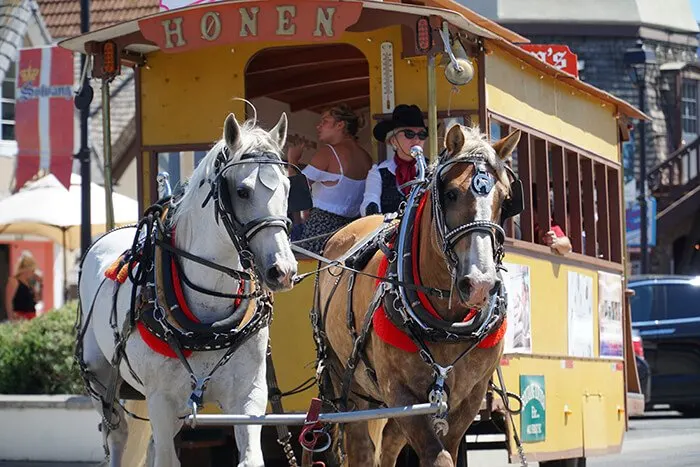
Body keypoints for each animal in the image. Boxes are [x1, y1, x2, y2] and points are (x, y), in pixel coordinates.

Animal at [79, 113, 298, 467]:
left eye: (288, 187)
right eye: (242, 191)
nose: (283, 270)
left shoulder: (247, 396)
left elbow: (250, 457)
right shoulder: (161, 400)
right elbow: (166, 458)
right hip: (101, 379)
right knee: (118, 435)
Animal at [316, 125, 520, 467]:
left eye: (505, 201)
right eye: (451, 193)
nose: (480, 284)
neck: (447, 324)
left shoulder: (469, 396)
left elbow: (444, 448)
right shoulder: (399, 391)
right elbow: (437, 457)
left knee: (387, 444)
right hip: (349, 383)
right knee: (361, 449)